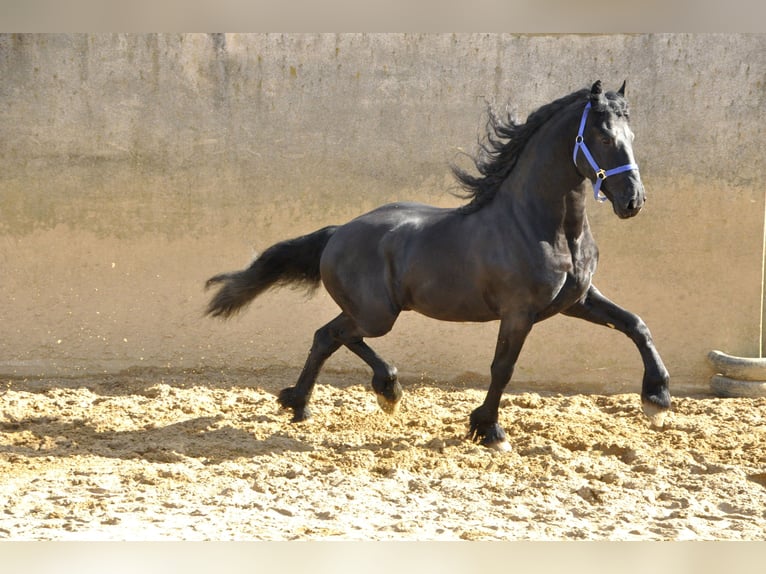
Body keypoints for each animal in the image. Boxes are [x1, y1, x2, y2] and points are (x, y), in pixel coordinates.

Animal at [205, 80, 671, 451]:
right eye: (604, 136)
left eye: (631, 134)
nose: (633, 201)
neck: (540, 226)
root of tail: (337, 233)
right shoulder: (519, 312)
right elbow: (502, 368)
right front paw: (489, 430)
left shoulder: (576, 300)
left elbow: (636, 324)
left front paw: (657, 399)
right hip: (378, 315)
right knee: (337, 334)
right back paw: (381, 389)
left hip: (372, 312)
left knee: (326, 337)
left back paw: (307, 403)